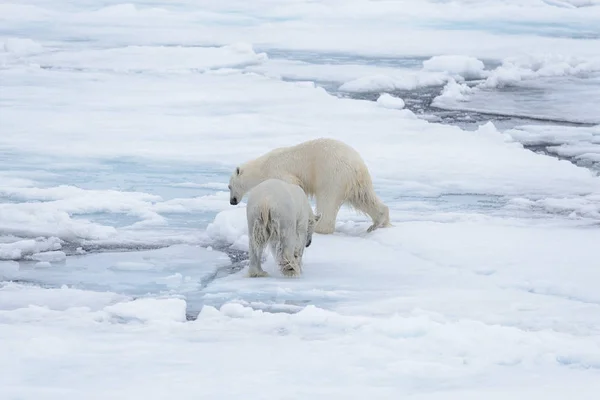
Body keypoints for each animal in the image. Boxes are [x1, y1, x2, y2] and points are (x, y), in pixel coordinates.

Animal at [229, 138, 390, 234]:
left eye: (229, 186)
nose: (232, 201)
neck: (262, 167)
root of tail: (358, 165)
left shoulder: (278, 172)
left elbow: (292, 186)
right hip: (356, 181)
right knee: (364, 198)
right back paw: (378, 223)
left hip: (332, 175)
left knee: (327, 201)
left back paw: (319, 228)